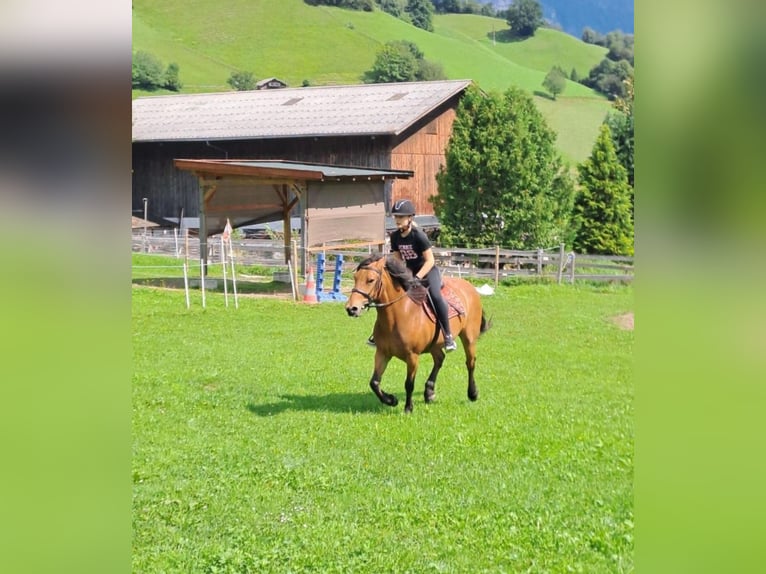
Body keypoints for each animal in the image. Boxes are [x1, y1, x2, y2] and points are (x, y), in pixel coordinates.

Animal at [345, 253, 492, 413]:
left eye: (370, 280)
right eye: (355, 277)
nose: (351, 308)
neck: (399, 314)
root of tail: (469, 286)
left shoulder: (412, 356)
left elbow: (409, 383)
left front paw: (408, 408)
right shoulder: (382, 353)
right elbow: (374, 382)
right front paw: (391, 400)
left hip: (469, 338)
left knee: (470, 363)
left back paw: (472, 393)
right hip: (435, 344)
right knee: (440, 359)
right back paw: (429, 392)